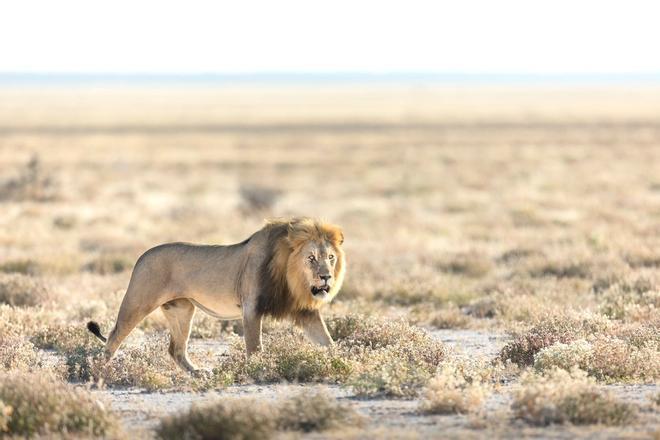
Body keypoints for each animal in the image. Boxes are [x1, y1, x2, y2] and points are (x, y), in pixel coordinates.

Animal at [86, 217, 346, 372]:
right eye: (311, 258)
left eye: (330, 257)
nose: (326, 277)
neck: (291, 278)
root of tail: (141, 256)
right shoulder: (251, 308)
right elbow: (255, 347)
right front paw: (258, 370)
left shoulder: (305, 311)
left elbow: (327, 341)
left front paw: (342, 362)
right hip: (138, 302)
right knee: (113, 336)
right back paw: (99, 371)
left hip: (182, 310)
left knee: (176, 349)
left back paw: (198, 374)